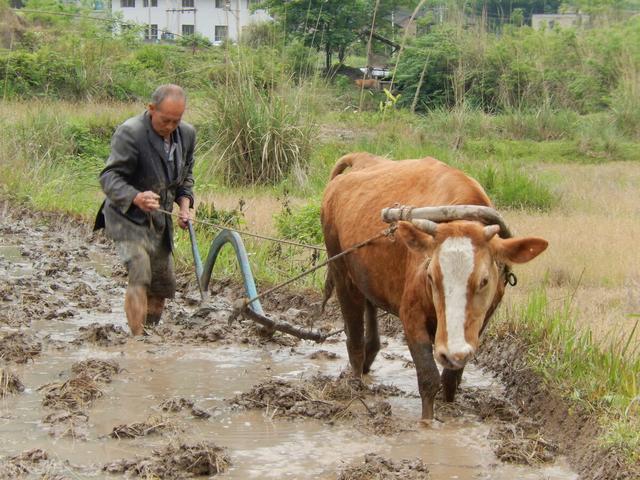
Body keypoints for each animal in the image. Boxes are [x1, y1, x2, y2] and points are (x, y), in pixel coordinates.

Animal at [322, 153, 548, 420]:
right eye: (431, 276)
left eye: (484, 280)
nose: (451, 352)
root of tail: (361, 159)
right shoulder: (411, 316)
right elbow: (428, 378)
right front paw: (427, 423)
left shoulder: (481, 322)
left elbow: (451, 379)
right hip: (340, 273)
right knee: (354, 339)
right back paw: (355, 386)